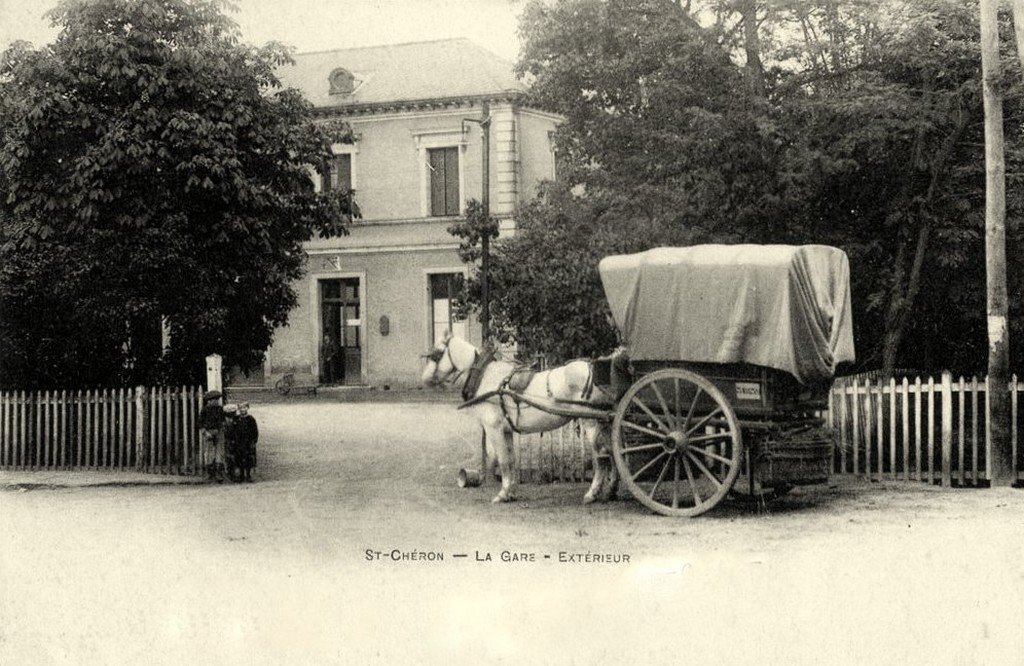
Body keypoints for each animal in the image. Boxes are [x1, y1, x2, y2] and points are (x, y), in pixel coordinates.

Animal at [421, 331, 618, 504]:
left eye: (436, 355)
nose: (425, 380)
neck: (485, 375)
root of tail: (591, 368)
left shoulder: (494, 429)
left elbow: (503, 460)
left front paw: (502, 494)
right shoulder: (507, 430)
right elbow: (511, 460)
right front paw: (511, 492)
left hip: (591, 422)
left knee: (601, 456)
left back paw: (592, 493)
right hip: (606, 422)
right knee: (612, 450)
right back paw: (610, 491)